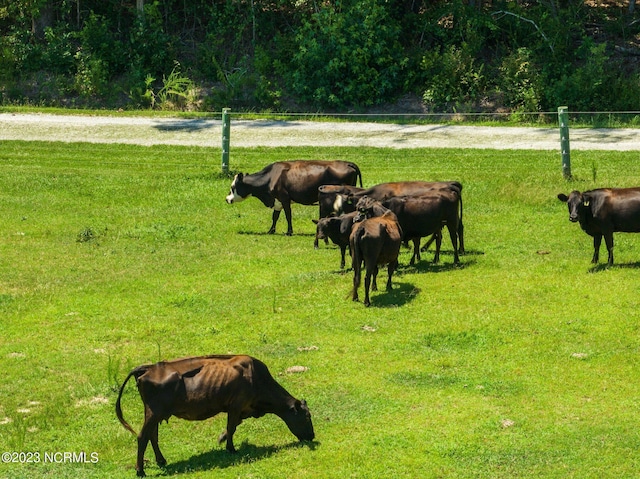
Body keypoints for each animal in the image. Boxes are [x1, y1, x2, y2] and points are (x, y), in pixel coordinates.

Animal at [116, 354, 316, 478]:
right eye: (307, 417)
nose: (312, 435)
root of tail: (148, 368)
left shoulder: (240, 408)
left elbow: (233, 426)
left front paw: (222, 439)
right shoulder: (236, 405)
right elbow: (232, 427)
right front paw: (231, 448)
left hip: (155, 414)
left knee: (153, 436)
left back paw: (161, 461)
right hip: (154, 413)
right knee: (142, 437)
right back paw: (140, 471)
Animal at [228, 161, 362, 236]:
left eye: (233, 187)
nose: (227, 199)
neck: (271, 177)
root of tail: (347, 163)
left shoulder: (284, 199)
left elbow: (288, 216)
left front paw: (289, 232)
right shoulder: (278, 201)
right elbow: (275, 217)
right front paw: (271, 230)